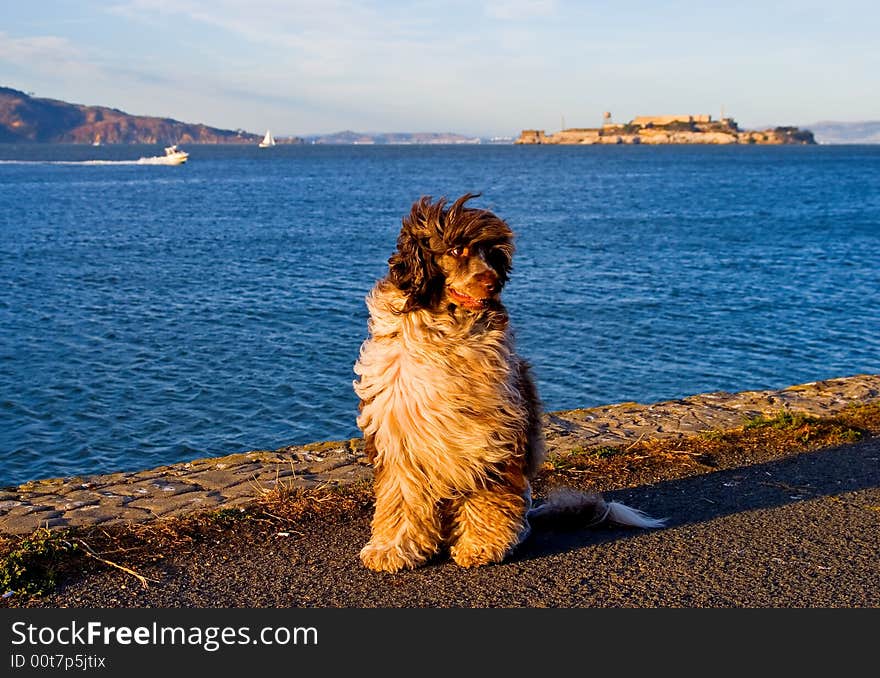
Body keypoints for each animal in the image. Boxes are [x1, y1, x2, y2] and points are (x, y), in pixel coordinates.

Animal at [350, 195, 660, 572]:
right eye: (456, 249)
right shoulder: (400, 435)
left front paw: (481, 545)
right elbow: (401, 496)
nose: (493, 282)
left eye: (494, 254)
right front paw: (393, 548)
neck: (447, 329)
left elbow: (487, 492)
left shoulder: (488, 432)